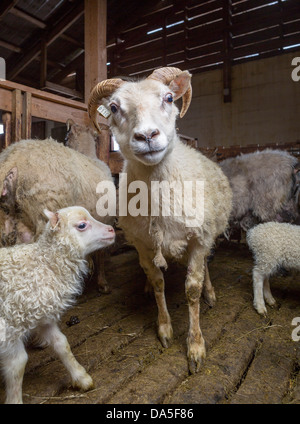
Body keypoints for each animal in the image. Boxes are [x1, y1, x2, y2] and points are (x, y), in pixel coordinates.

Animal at [0, 205, 115, 404]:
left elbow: (62, 344)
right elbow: (17, 364)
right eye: (82, 225)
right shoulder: (9, 327)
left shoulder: (42, 316)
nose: (112, 230)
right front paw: (14, 399)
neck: (45, 264)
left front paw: (81, 377)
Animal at [86, 66, 232, 374]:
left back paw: (210, 293)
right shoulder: (143, 243)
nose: (147, 135)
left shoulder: (199, 238)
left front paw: (195, 345)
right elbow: (157, 283)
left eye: (168, 98)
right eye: (114, 107)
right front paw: (164, 328)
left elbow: (191, 289)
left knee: (205, 267)